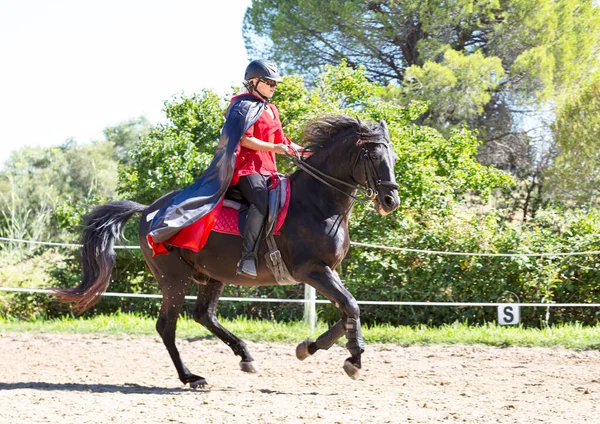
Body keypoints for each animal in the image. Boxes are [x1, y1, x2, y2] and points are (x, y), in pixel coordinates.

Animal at [54, 115, 400, 388]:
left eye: (393, 156)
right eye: (371, 154)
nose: (390, 200)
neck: (316, 203)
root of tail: (149, 211)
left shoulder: (328, 271)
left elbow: (348, 311)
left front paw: (311, 347)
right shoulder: (311, 270)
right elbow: (351, 307)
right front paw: (354, 360)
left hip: (212, 275)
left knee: (203, 315)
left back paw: (245, 357)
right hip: (173, 278)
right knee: (167, 326)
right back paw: (191, 377)